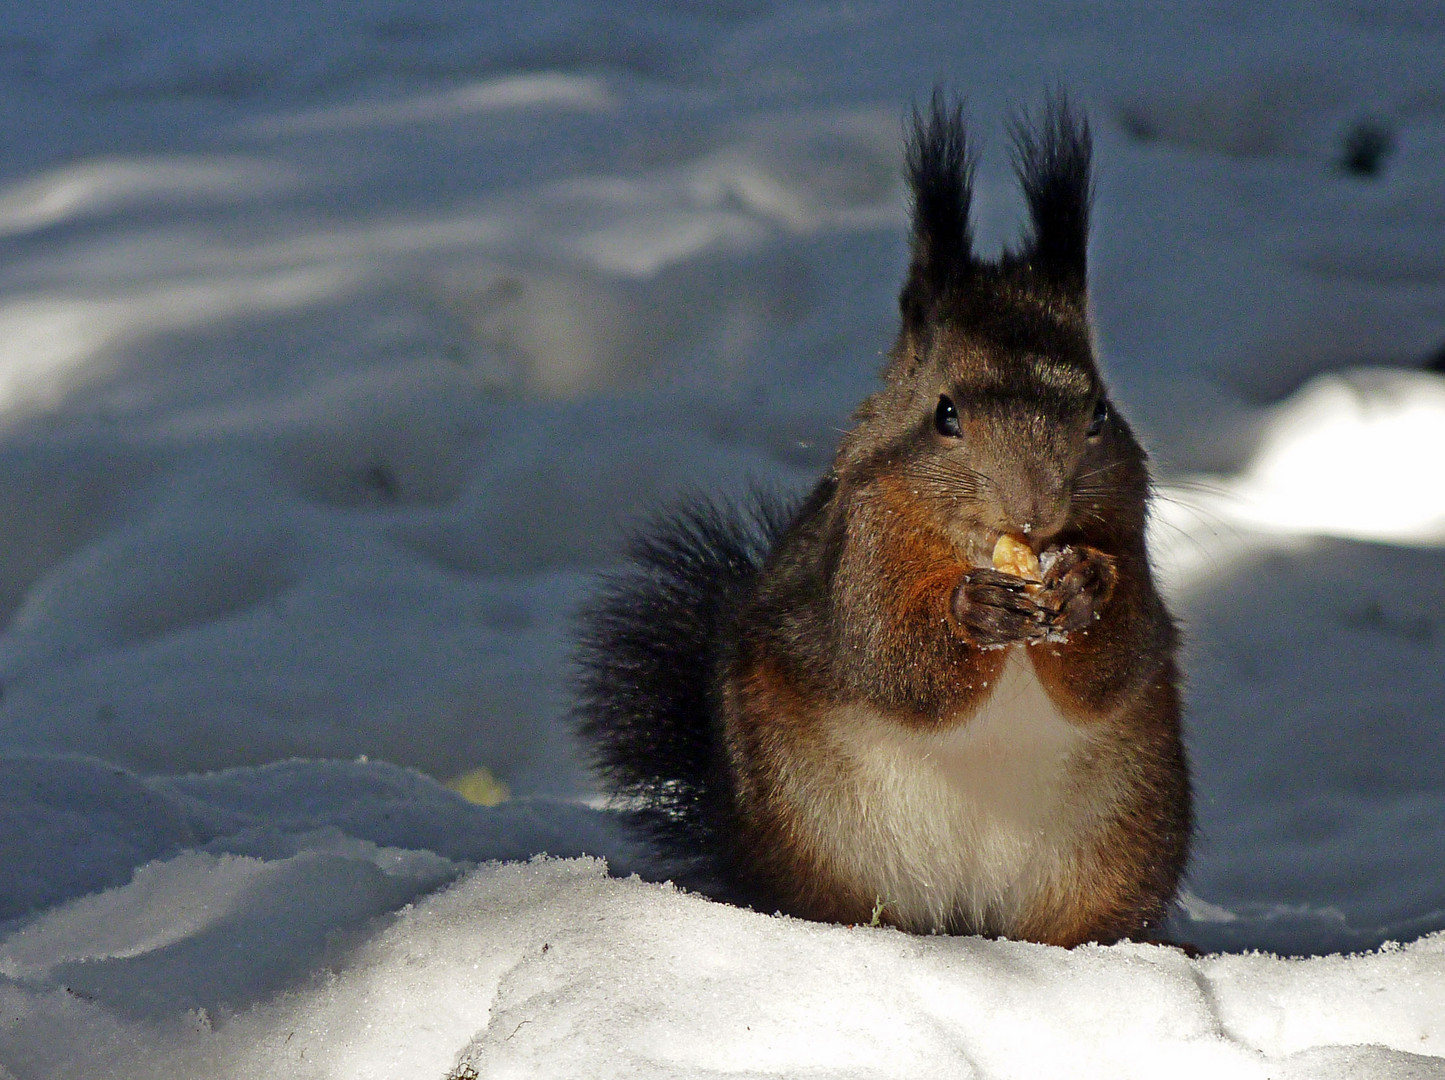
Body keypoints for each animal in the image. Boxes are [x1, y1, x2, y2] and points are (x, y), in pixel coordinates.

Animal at [569, 96, 1190, 948]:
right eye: (945, 415)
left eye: (1099, 413)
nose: (1033, 509)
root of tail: (961, 917)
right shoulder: (857, 551)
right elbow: (886, 655)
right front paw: (972, 609)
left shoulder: (1126, 532)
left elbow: (1120, 660)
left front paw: (1085, 586)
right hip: (811, 831)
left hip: (1119, 838)